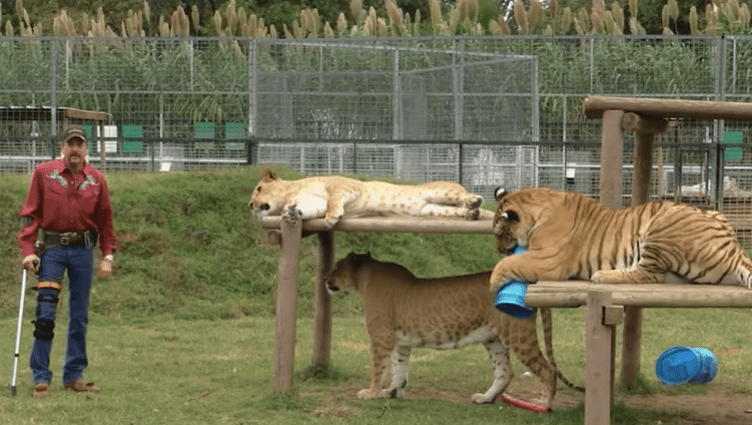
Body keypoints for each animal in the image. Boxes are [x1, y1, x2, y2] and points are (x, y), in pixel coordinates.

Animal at [326, 252, 583, 410]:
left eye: (336, 268)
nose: (325, 279)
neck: (364, 279)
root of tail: (529, 282)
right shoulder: (400, 341)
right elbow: (400, 368)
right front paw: (392, 392)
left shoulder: (381, 336)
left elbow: (378, 367)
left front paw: (370, 392)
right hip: (494, 339)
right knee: (505, 372)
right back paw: (485, 398)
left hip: (518, 335)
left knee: (547, 371)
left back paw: (544, 406)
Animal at [489, 186, 752, 293]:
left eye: (499, 234)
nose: (499, 249)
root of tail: (735, 248)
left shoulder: (548, 261)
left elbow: (506, 265)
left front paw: (492, 286)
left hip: (661, 226)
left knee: (648, 275)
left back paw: (602, 276)